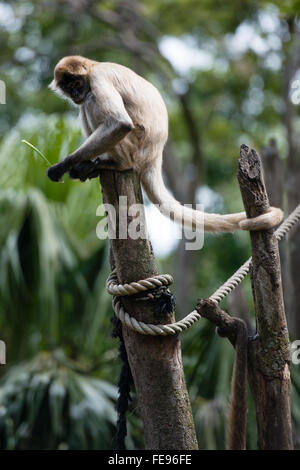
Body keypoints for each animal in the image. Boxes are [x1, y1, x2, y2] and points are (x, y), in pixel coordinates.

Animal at [47, 57, 284, 233]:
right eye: (68, 88)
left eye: (76, 84)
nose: (75, 94)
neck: (94, 65)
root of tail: (155, 155)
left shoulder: (97, 77)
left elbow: (119, 123)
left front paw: (62, 166)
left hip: (134, 144)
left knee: (90, 102)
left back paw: (114, 163)